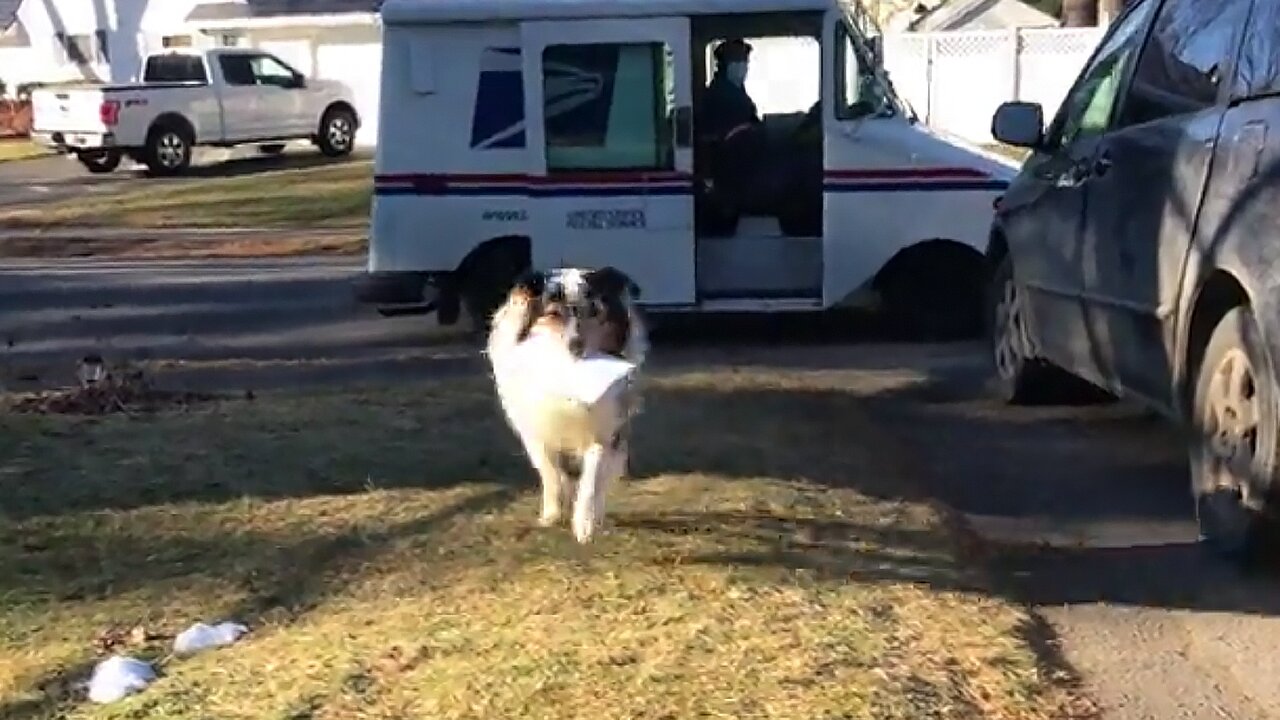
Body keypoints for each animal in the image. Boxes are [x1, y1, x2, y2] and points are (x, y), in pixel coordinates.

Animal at [488, 263, 650, 538]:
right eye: (553, 314)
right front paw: (552, 513)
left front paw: (584, 523)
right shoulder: (535, 430)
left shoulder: (606, 431)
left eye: (593, 311)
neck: (569, 375)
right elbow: (551, 471)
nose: (576, 345)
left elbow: (593, 478)